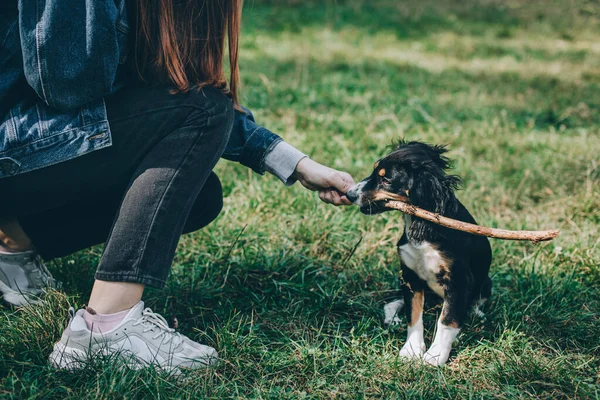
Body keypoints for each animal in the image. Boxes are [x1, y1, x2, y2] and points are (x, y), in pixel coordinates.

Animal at [346, 141, 492, 366]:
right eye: (374, 170)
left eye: (386, 179)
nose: (349, 194)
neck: (422, 229)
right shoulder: (409, 276)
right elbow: (413, 315)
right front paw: (412, 350)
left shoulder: (459, 280)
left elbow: (447, 320)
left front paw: (435, 356)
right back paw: (392, 318)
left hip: (485, 283)